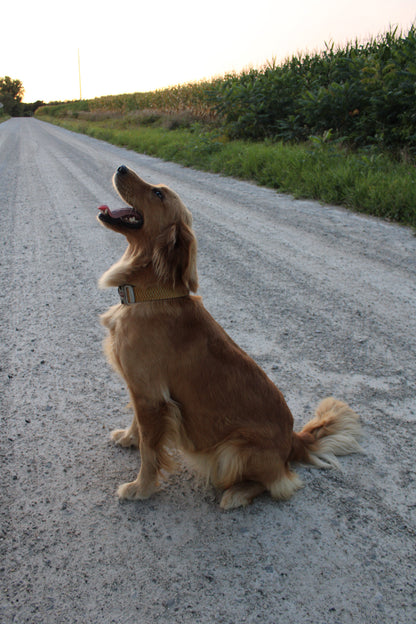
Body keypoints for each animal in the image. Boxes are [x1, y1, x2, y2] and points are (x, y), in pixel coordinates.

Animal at [96, 167, 360, 512]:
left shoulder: (152, 396)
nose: (121, 168)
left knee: (280, 483)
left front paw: (141, 488)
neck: (151, 293)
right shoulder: (140, 390)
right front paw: (129, 438)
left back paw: (237, 494)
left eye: (158, 194)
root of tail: (293, 441)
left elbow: (150, 452)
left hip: (232, 450)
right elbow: (138, 426)